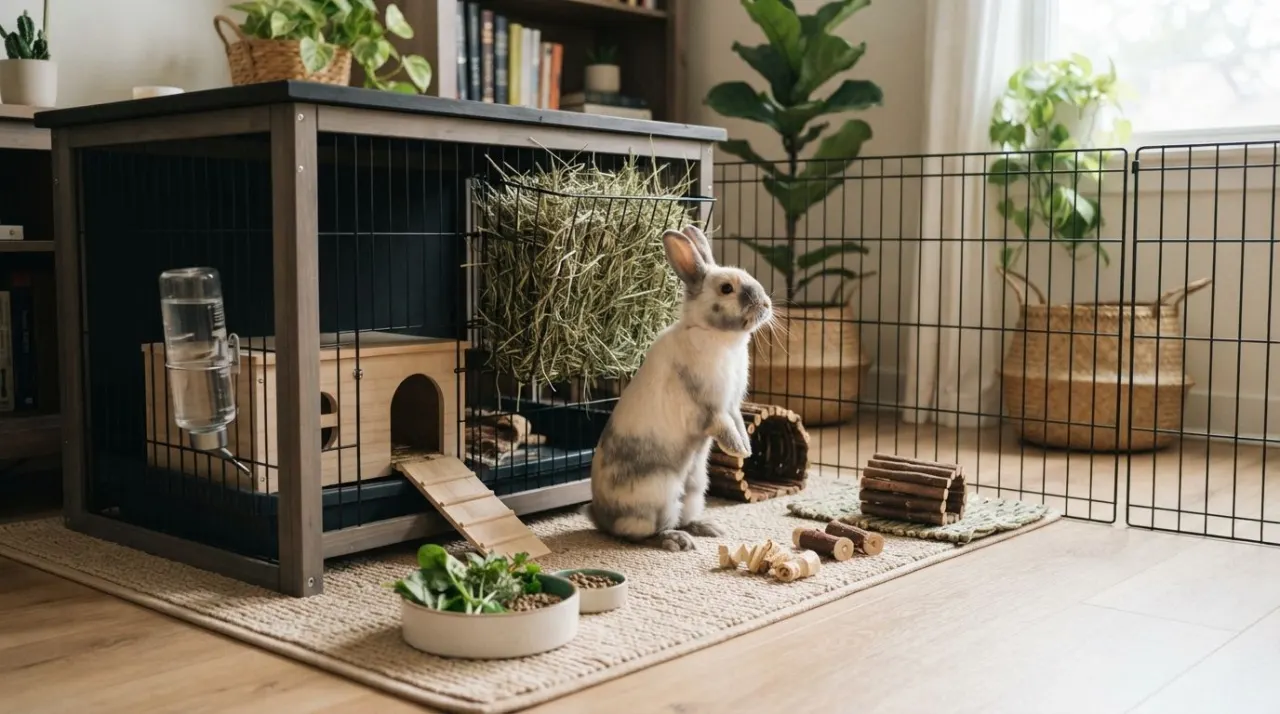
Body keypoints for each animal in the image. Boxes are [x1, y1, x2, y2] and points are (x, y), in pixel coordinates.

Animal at [584, 224, 773, 551]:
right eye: (726, 289)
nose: (766, 304)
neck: (713, 334)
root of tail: (600, 516)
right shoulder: (711, 407)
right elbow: (724, 426)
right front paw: (739, 449)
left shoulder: (733, 404)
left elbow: (738, 422)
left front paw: (747, 449)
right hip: (659, 496)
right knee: (642, 534)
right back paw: (677, 540)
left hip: (696, 487)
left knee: (683, 516)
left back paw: (708, 528)